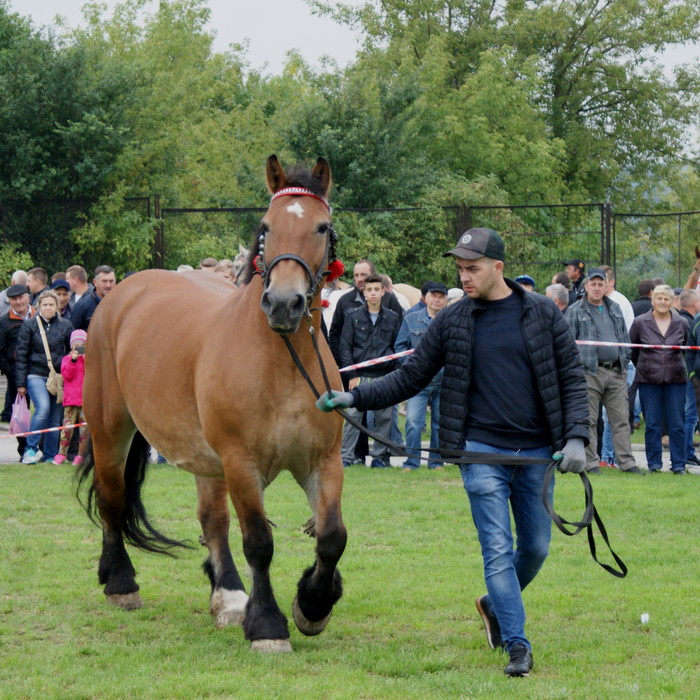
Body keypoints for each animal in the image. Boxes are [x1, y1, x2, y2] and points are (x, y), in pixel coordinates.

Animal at [77, 156, 348, 652]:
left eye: (321, 227)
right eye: (266, 227)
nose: (283, 303)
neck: (281, 362)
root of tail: (121, 293)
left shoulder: (323, 462)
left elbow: (332, 536)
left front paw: (313, 604)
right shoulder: (241, 464)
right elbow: (259, 542)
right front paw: (268, 626)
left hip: (205, 458)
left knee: (212, 519)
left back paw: (229, 597)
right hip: (111, 431)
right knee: (111, 498)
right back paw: (120, 582)